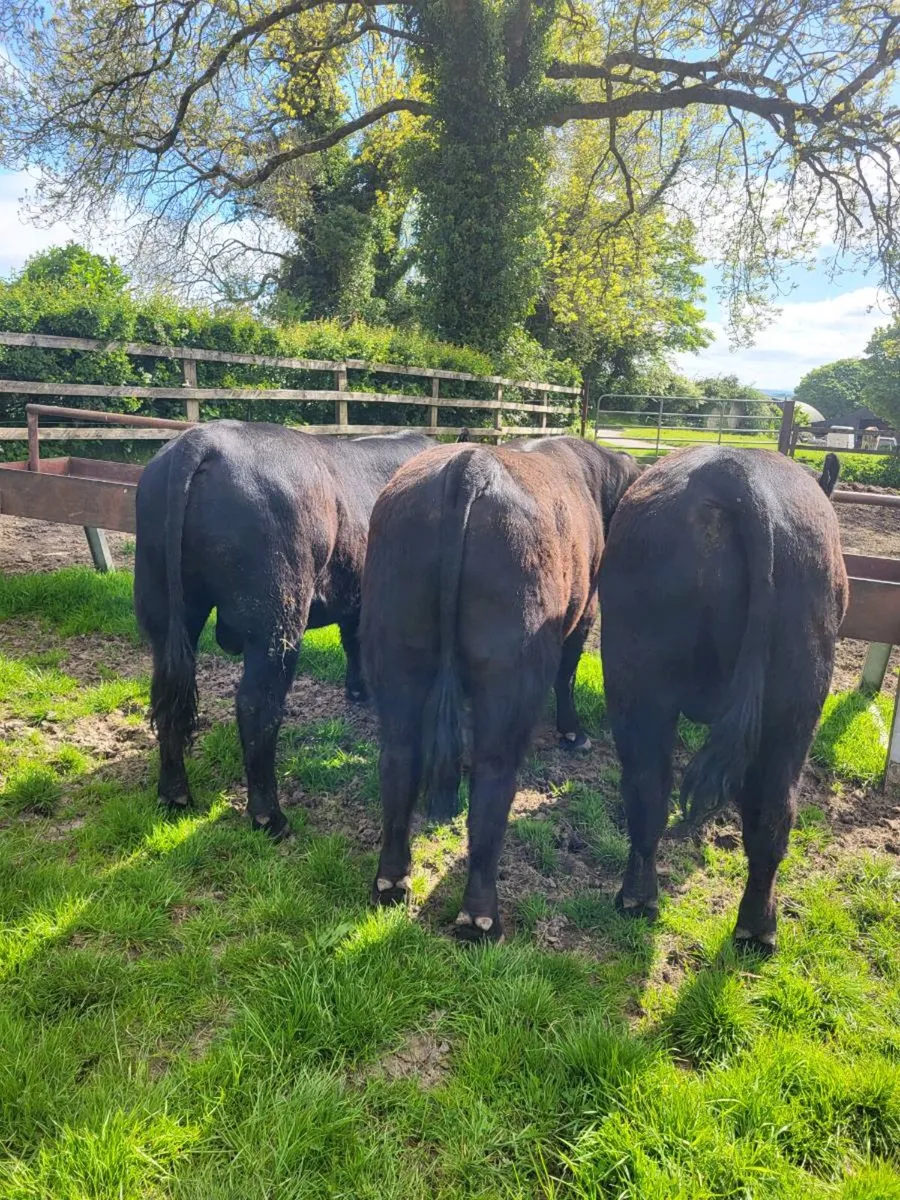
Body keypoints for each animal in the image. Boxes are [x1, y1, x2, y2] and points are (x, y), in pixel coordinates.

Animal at [134, 420, 435, 840]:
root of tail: (203, 438)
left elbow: (353, 640)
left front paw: (358, 690)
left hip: (163, 607)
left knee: (168, 695)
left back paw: (174, 794)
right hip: (277, 620)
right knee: (257, 706)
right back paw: (269, 817)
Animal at [361, 436, 640, 940]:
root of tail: (469, 465)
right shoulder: (585, 610)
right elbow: (568, 673)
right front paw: (574, 733)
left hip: (396, 653)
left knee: (399, 760)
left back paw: (392, 881)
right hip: (511, 671)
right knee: (494, 779)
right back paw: (481, 917)